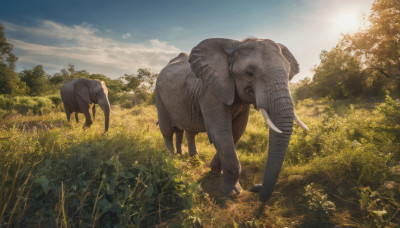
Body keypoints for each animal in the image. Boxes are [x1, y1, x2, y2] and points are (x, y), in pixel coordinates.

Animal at [154, 38, 310, 202]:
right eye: (249, 73)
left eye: (288, 73)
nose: (256, 187)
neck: (236, 46)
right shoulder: (210, 91)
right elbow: (221, 133)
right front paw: (233, 192)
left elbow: (236, 131)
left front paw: (215, 172)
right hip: (158, 95)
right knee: (167, 130)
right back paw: (172, 159)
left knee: (186, 131)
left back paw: (189, 158)